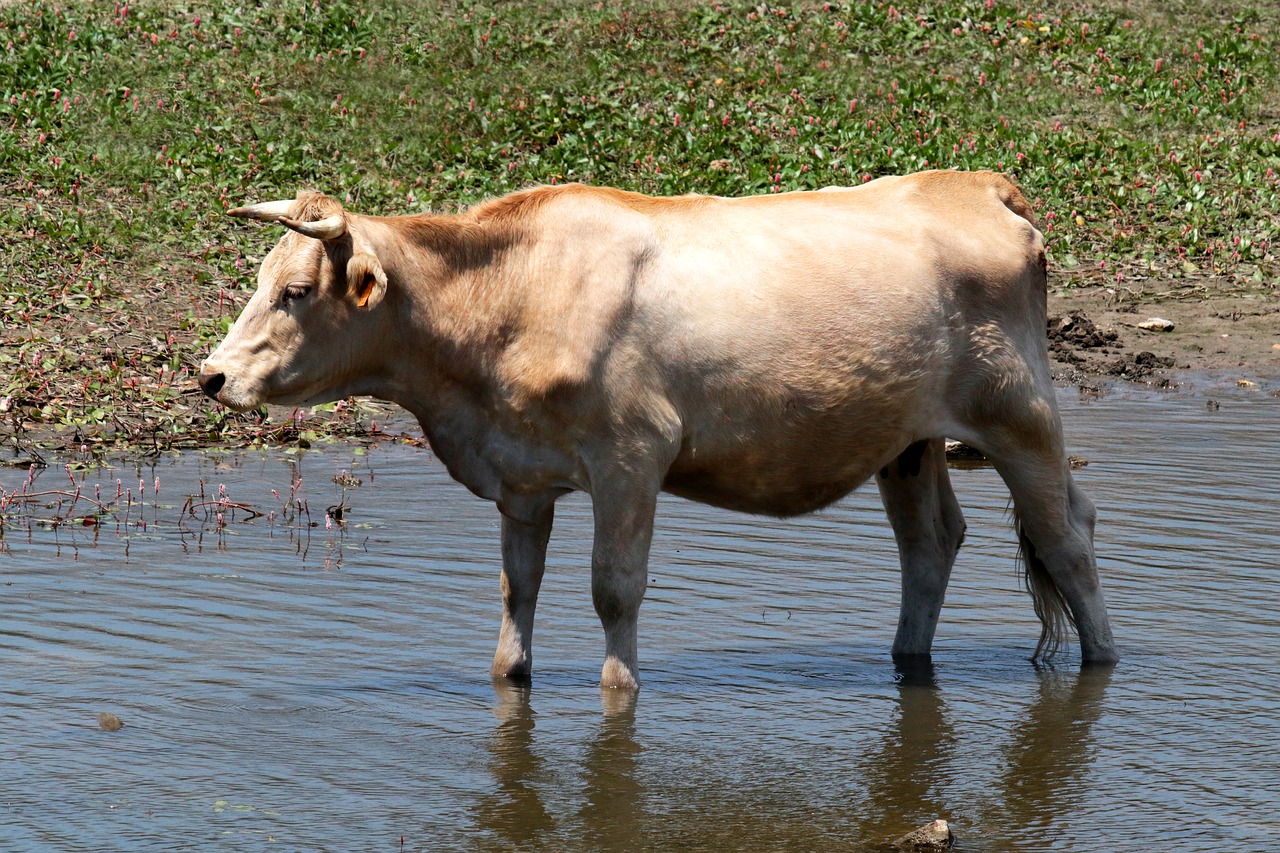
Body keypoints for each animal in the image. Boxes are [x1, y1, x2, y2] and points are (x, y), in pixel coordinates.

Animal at [197, 169, 1111, 686]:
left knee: (1066, 533)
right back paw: (907, 659)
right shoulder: (521, 475)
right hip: (907, 439)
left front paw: (619, 692)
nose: (212, 375)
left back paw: (1102, 661)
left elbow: (614, 587)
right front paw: (510, 675)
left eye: (296, 292)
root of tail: (973, 180)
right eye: (261, 279)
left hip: (1020, 414)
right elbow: (517, 590)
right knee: (932, 541)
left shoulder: (631, 455)